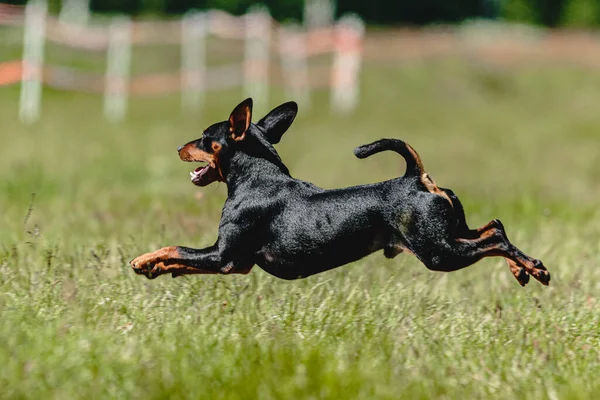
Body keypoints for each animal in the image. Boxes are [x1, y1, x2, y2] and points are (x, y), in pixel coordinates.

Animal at [130, 98, 548, 286]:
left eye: (205, 138)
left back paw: (534, 269)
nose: (179, 147)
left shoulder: (225, 257)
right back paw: (523, 268)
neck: (256, 179)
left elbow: (176, 247)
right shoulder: (230, 262)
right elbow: (182, 259)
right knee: (494, 226)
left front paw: (143, 259)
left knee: (494, 239)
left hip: (438, 252)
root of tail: (415, 177)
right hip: (449, 235)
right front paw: (157, 268)